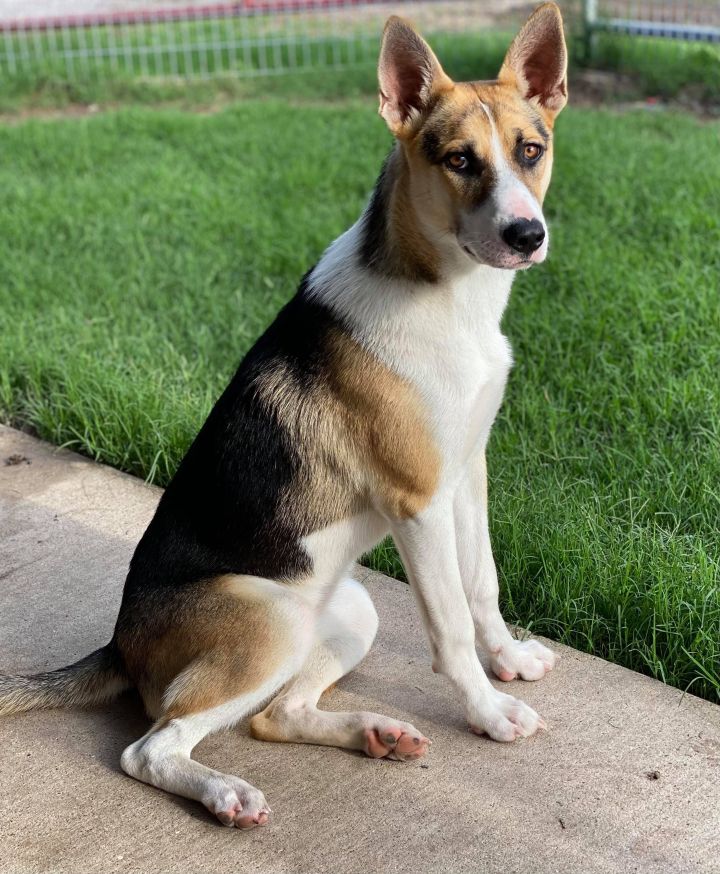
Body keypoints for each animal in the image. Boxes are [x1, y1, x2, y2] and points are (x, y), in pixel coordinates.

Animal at [2, 3, 572, 828]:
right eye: (459, 160)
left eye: (532, 150)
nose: (526, 236)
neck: (447, 294)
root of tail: (120, 644)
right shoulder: (419, 502)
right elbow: (450, 624)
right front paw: (488, 711)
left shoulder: (466, 475)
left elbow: (483, 587)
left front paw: (510, 661)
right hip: (270, 622)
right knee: (152, 747)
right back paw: (225, 793)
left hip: (344, 613)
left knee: (275, 716)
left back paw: (375, 734)